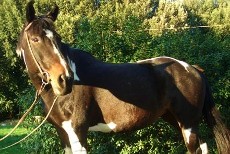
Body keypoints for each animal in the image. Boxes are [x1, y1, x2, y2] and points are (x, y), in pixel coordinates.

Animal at [16, 1, 230, 154]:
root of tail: (192, 69)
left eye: (58, 39)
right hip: (177, 120)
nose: (64, 79)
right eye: (35, 39)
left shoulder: (78, 132)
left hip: (188, 123)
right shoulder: (64, 133)